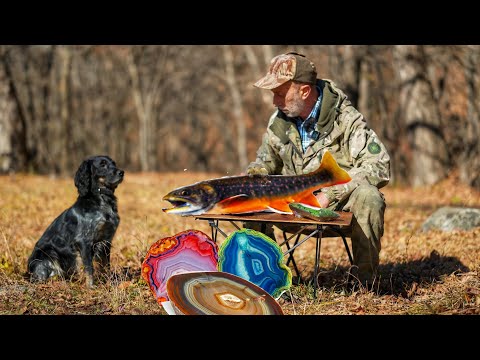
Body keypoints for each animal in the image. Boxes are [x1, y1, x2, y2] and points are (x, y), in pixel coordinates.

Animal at [26, 155, 124, 286]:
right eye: (102, 164)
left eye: (114, 163)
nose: (121, 172)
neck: (102, 201)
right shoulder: (84, 241)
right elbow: (89, 267)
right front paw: (90, 286)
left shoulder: (106, 240)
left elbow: (105, 265)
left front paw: (108, 283)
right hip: (48, 253)